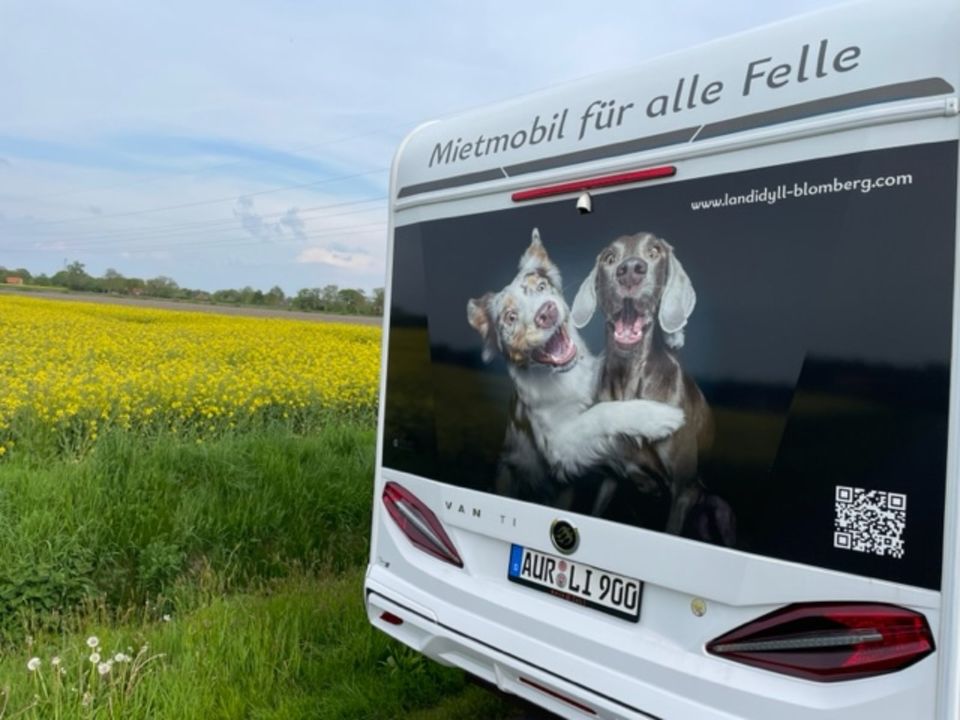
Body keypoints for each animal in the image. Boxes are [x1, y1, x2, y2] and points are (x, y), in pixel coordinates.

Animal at [464, 229, 684, 500]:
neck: (567, 378)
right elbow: (599, 413)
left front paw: (673, 334)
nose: (546, 312)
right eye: (510, 317)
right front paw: (654, 416)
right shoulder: (559, 446)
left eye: (541, 287)